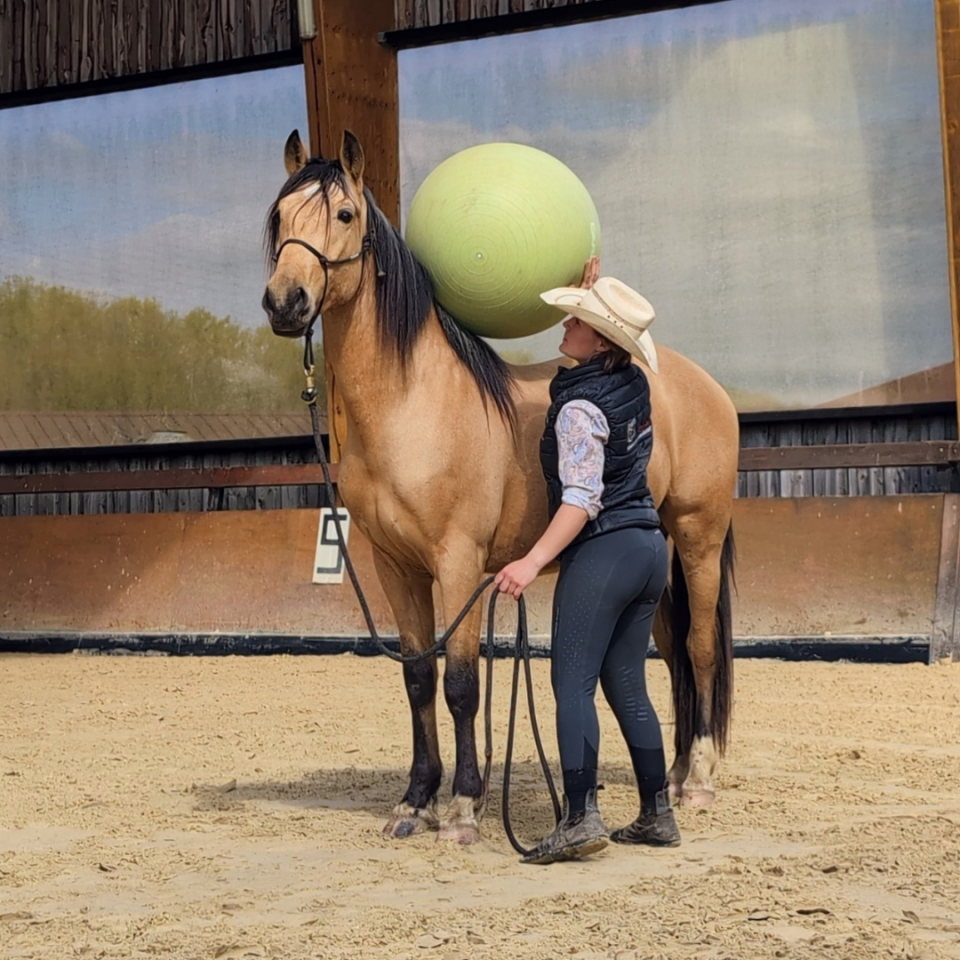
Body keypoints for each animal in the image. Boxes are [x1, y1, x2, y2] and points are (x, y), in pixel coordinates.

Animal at [261, 129, 739, 844]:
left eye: (343, 214)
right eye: (278, 216)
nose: (284, 302)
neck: (413, 405)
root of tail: (702, 384)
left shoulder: (458, 565)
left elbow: (461, 684)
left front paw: (462, 809)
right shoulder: (395, 567)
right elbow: (418, 678)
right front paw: (414, 802)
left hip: (698, 536)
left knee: (700, 647)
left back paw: (700, 782)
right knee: (673, 655)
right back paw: (677, 776)